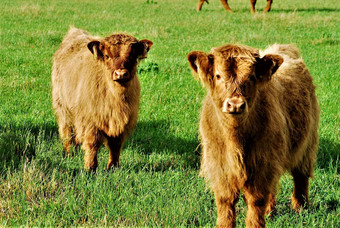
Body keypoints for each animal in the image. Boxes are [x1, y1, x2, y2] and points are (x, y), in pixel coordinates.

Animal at [51, 27, 153, 171]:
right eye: (107, 56)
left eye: (132, 56)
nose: (121, 74)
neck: (116, 99)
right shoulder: (90, 121)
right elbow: (92, 144)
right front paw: (90, 168)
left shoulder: (121, 122)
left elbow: (115, 145)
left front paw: (113, 167)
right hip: (62, 107)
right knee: (66, 132)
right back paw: (69, 154)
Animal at [189, 43, 318, 227]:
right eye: (218, 75)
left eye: (251, 77)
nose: (235, 104)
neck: (235, 139)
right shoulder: (220, 166)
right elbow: (225, 202)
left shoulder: (262, 165)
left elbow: (255, 201)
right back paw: (270, 212)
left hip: (307, 144)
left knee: (301, 176)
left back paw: (301, 209)